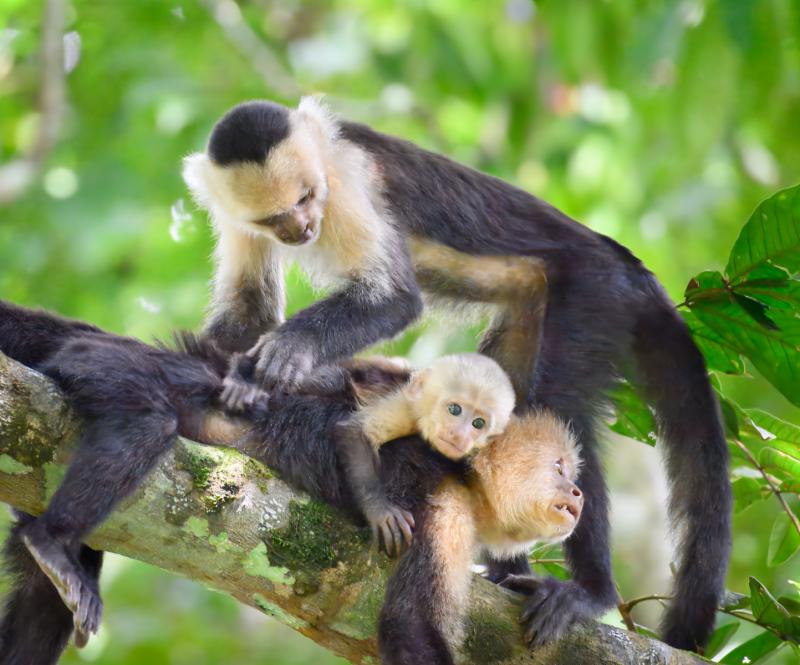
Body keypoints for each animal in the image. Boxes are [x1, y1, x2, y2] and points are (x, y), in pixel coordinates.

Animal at [336, 353, 515, 556]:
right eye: (455, 409)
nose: (459, 435)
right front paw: (380, 510)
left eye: (478, 423)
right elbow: (356, 433)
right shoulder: (406, 408)